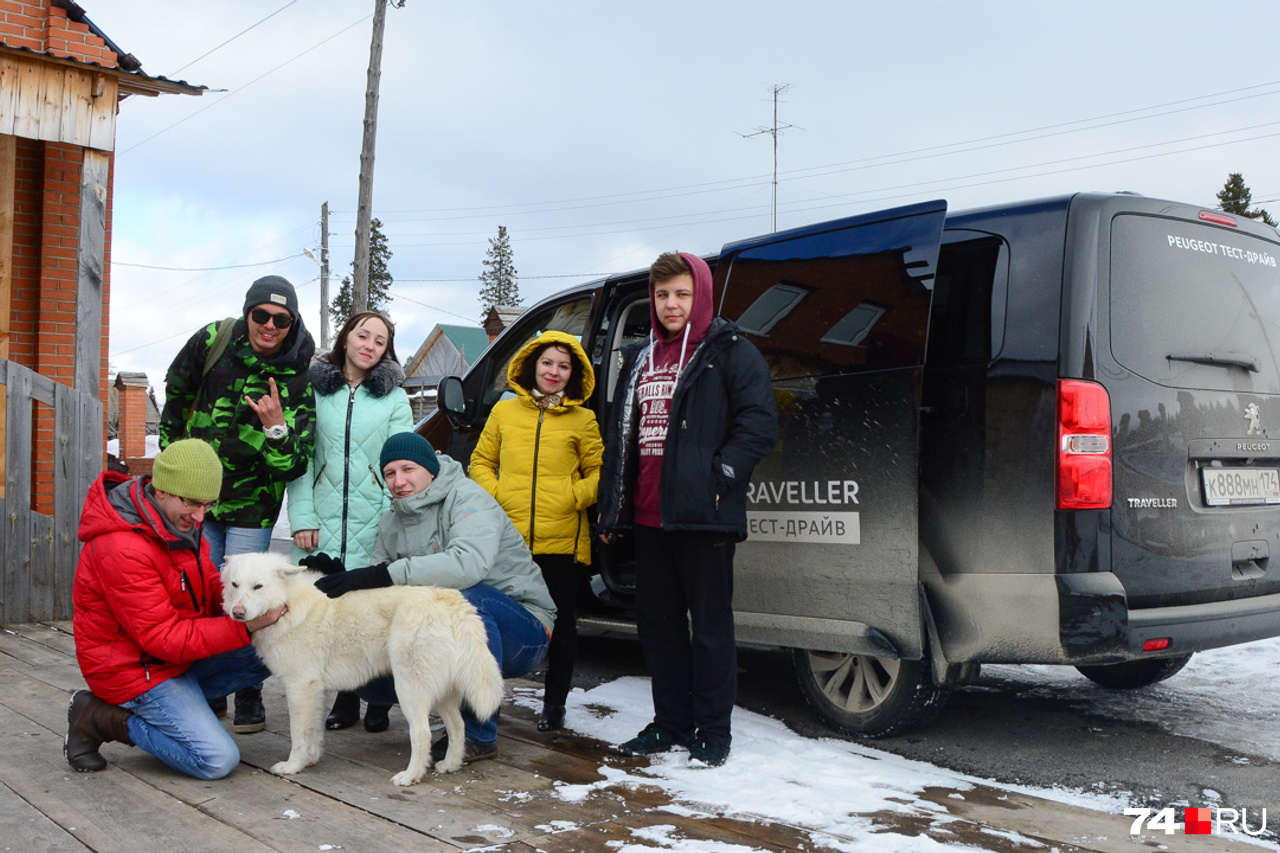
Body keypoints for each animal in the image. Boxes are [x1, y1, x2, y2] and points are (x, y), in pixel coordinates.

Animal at [222, 550, 501, 783]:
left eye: (258, 586)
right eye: (235, 585)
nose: (237, 613)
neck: (287, 603)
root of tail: (451, 601)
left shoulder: (299, 687)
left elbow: (298, 733)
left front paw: (292, 766)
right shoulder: (314, 690)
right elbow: (314, 732)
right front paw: (310, 760)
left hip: (409, 691)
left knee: (422, 734)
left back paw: (409, 777)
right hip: (440, 693)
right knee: (459, 726)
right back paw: (450, 765)